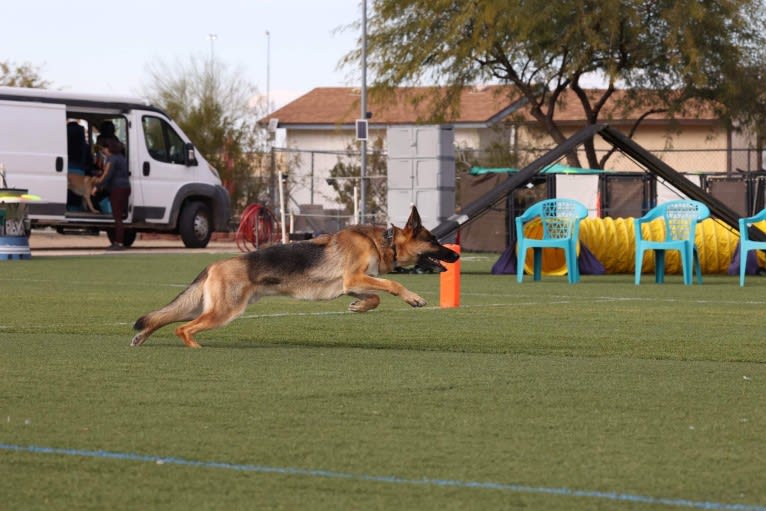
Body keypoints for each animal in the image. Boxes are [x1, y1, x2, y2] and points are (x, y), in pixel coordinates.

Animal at [132, 207, 460, 348]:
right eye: (434, 240)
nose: (456, 256)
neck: (384, 242)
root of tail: (215, 264)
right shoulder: (353, 278)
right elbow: (392, 283)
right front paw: (414, 298)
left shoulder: (351, 284)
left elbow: (376, 296)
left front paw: (359, 307)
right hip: (222, 312)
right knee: (182, 328)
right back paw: (196, 349)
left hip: (202, 306)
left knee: (164, 317)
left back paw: (142, 336)